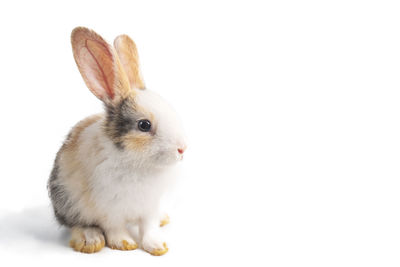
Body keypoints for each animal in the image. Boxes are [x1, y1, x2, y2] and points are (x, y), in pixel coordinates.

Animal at [46, 26, 186, 255]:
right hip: (67, 202)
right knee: (76, 223)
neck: (137, 164)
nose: (182, 149)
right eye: (144, 125)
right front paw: (125, 244)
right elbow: (115, 228)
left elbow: (149, 227)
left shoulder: (150, 206)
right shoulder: (109, 210)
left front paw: (157, 246)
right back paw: (90, 240)